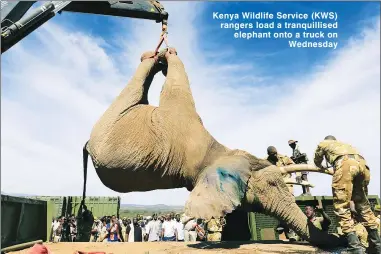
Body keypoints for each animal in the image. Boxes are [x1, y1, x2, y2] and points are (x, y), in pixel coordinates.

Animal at [84, 46, 342, 247]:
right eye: (271, 184)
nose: (340, 241)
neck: (219, 150)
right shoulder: (181, 121)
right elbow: (177, 87)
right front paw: (169, 54)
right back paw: (154, 56)